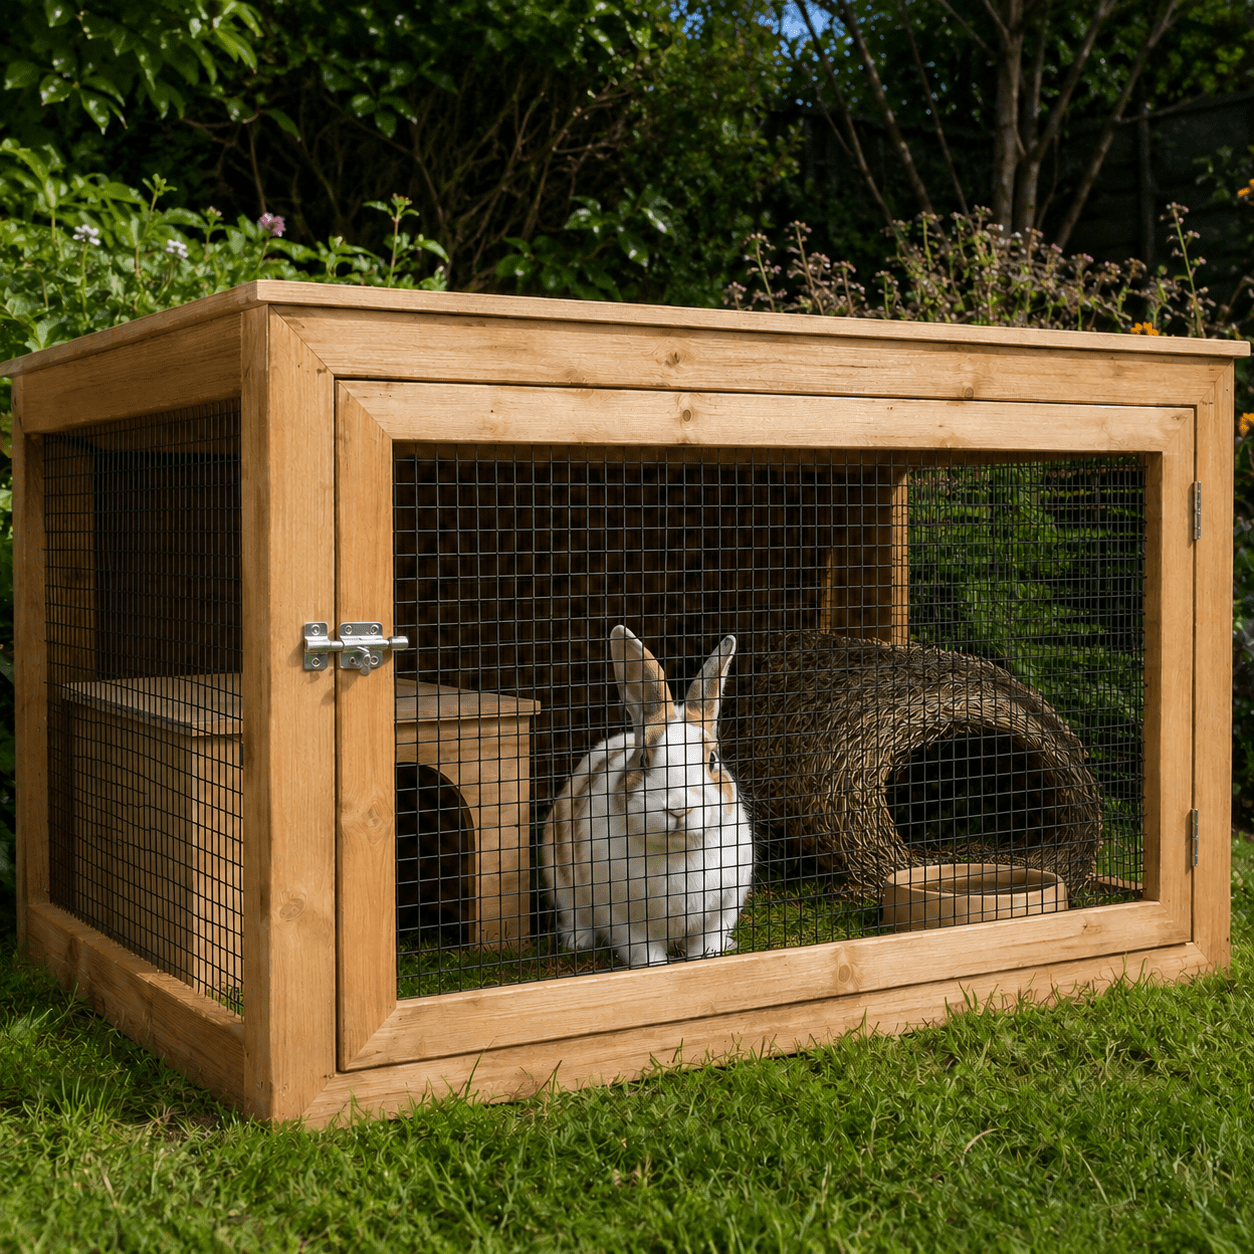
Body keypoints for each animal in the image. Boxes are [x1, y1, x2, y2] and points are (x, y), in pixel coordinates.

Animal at [542, 625, 755, 968]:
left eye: (712, 760)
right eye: (643, 759)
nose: (678, 809)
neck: (677, 851)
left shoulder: (722, 908)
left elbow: (706, 943)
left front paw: (708, 959)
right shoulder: (620, 915)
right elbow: (644, 950)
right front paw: (654, 968)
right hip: (562, 883)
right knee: (575, 915)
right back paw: (578, 941)